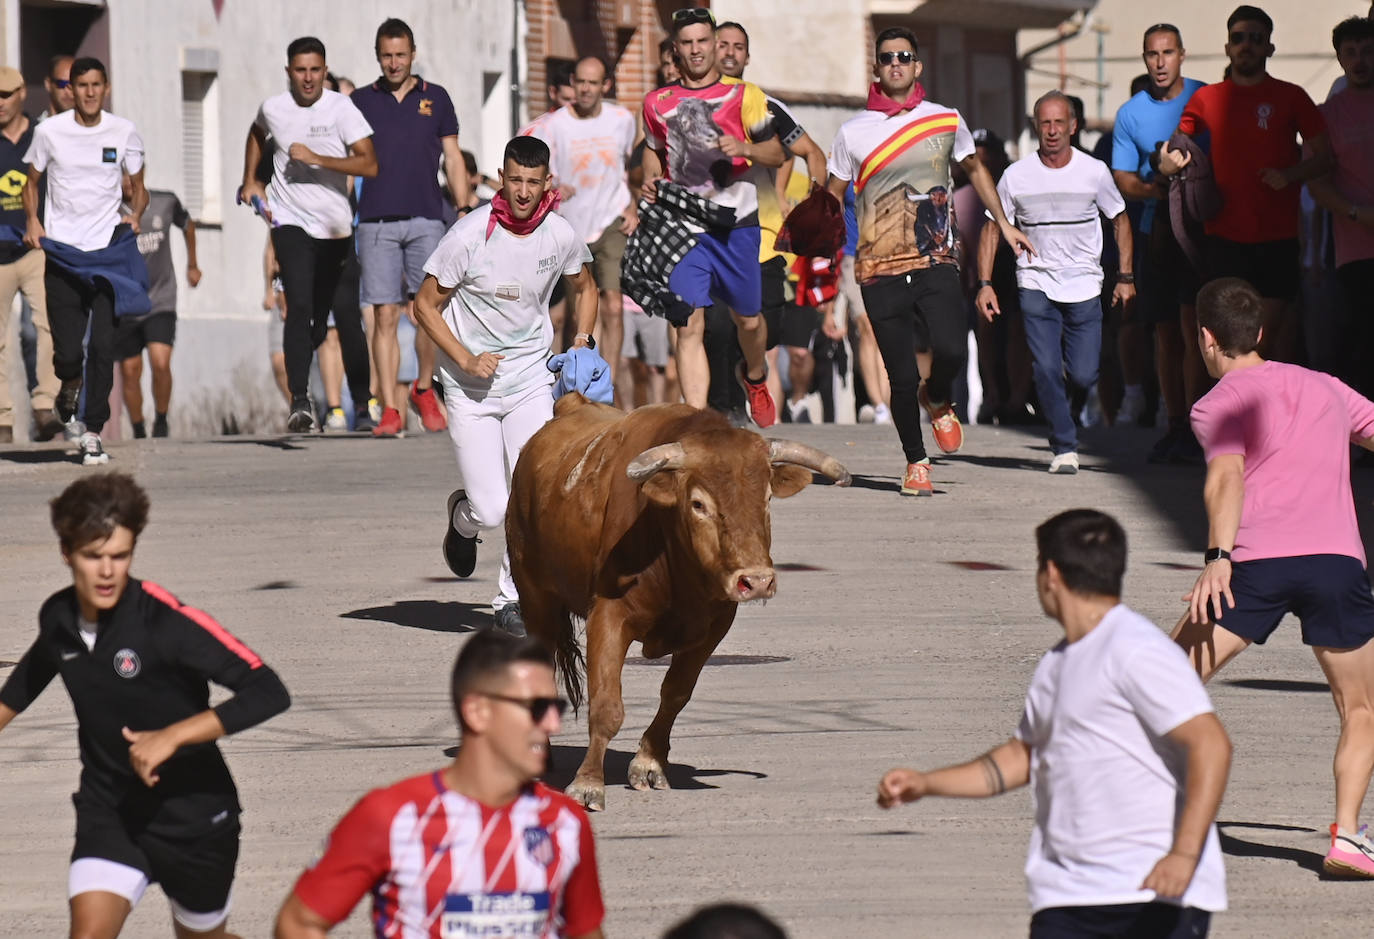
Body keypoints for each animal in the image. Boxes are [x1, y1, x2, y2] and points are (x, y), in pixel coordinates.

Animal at [505, 393, 846, 813]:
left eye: (767, 498)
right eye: (698, 504)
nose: (757, 581)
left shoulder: (713, 627)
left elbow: (676, 694)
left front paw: (649, 763)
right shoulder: (608, 615)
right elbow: (607, 706)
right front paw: (588, 783)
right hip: (535, 597)